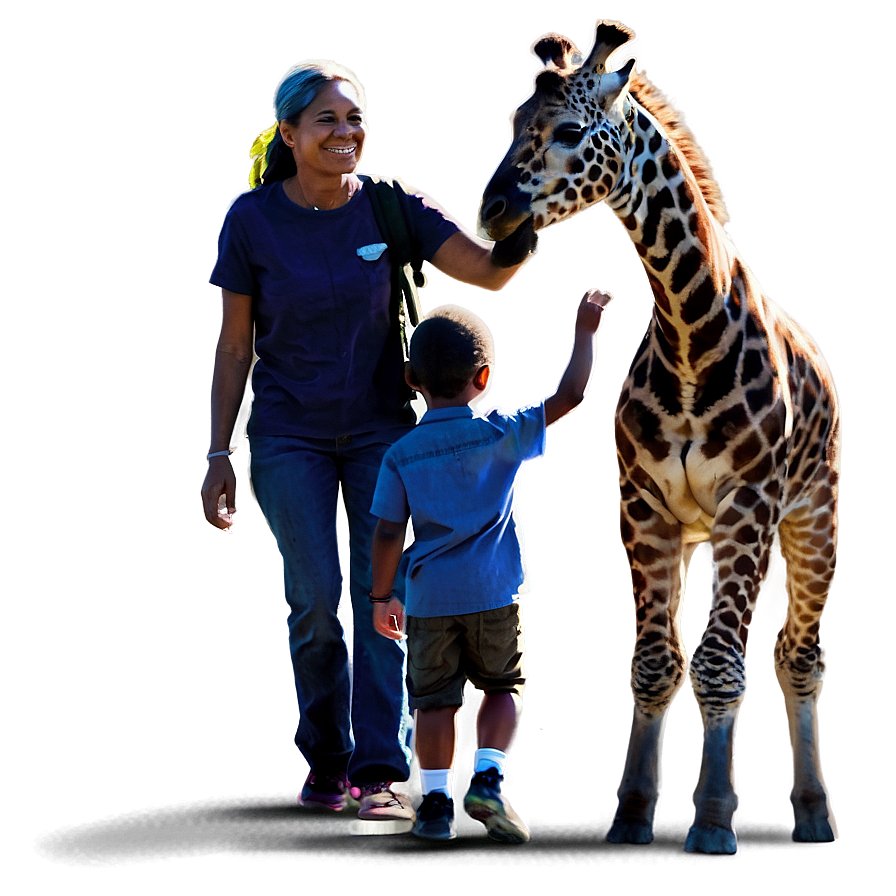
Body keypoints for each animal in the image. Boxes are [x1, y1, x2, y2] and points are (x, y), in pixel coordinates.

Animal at [480, 17, 844, 852]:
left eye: (570, 131)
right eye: (515, 123)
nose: (494, 210)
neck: (687, 334)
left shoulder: (749, 503)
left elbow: (719, 663)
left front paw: (712, 820)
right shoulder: (644, 506)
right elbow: (656, 663)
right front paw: (634, 811)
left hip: (811, 515)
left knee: (797, 653)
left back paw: (812, 809)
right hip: (699, 531)